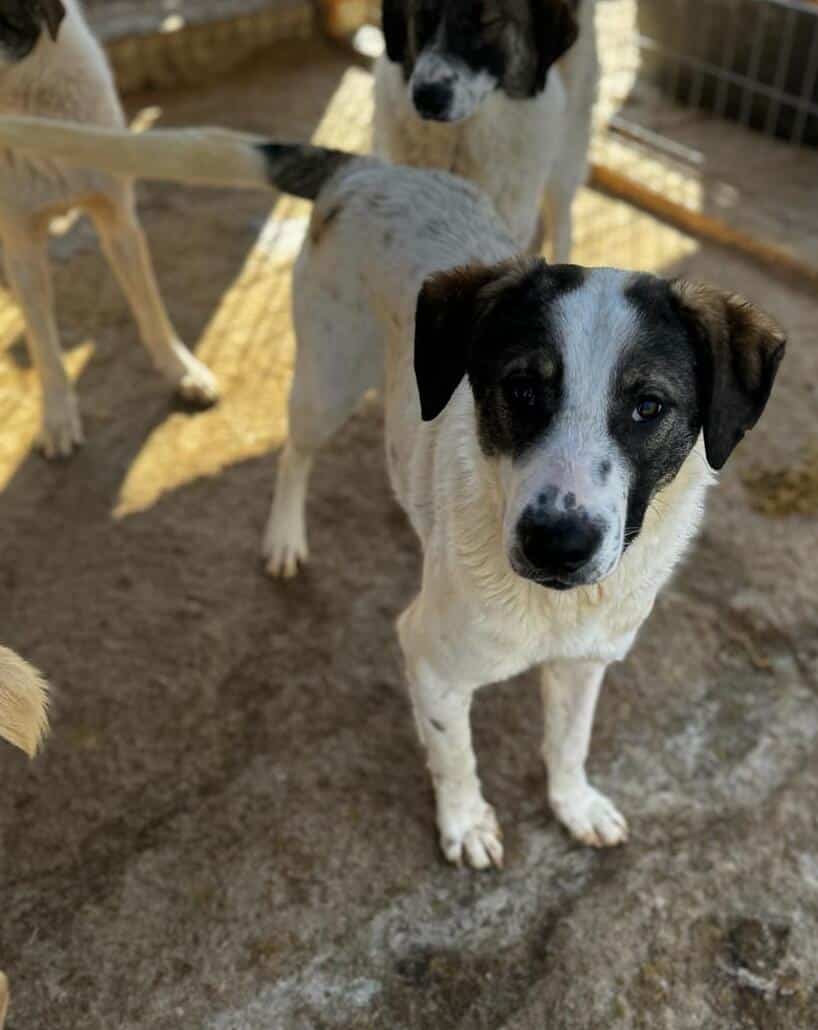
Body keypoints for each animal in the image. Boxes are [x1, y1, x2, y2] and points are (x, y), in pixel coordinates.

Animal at [0, 0, 218, 458]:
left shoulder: (118, 219)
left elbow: (151, 309)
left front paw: (182, 370)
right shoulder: (21, 246)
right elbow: (44, 345)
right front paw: (58, 418)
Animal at [0, 117, 785, 868]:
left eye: (649, 407)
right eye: (522, 389)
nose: (556, 545)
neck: (553, 609)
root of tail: (369, 168)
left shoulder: (586, 661)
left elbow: (568, 741)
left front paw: (574, 804)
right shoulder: (431, 663)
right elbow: (454, 755)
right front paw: (465, 824)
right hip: (327, 379)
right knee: (294, 454)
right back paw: (284, 538)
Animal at [373, 0, 597, 258]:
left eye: (486, 21)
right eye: (425, 14)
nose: (427, 96)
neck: (459, 143)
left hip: (565, 161)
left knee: (562, 224)